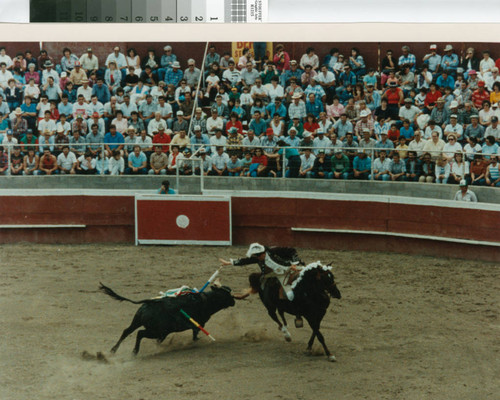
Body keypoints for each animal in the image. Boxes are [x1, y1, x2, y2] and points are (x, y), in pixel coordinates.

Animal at [100, 282, 237, 354]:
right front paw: (197, 341)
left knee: (127, 331)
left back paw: (113, 350)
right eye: (227, 295)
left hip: (137, 321)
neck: (207, 300)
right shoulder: (199, 324)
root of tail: (150, 302)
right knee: (140, 333)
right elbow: (195, 333)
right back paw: (135, 351)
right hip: (157, 330)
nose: (234, 301)